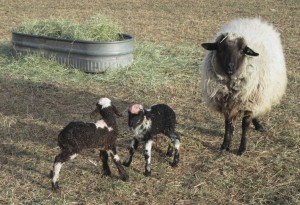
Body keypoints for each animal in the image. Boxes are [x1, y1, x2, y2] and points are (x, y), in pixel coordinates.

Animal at [200, 17, 288, 155]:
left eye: (242, 51)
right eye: (220, 49)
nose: (229, 67)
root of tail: (253, 20)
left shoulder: (249, 101)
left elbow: (245, 124)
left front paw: (242, 148)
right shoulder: (226, 102)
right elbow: (228, 123)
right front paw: (225, 145)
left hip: (259, 96)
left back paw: (259, 126)